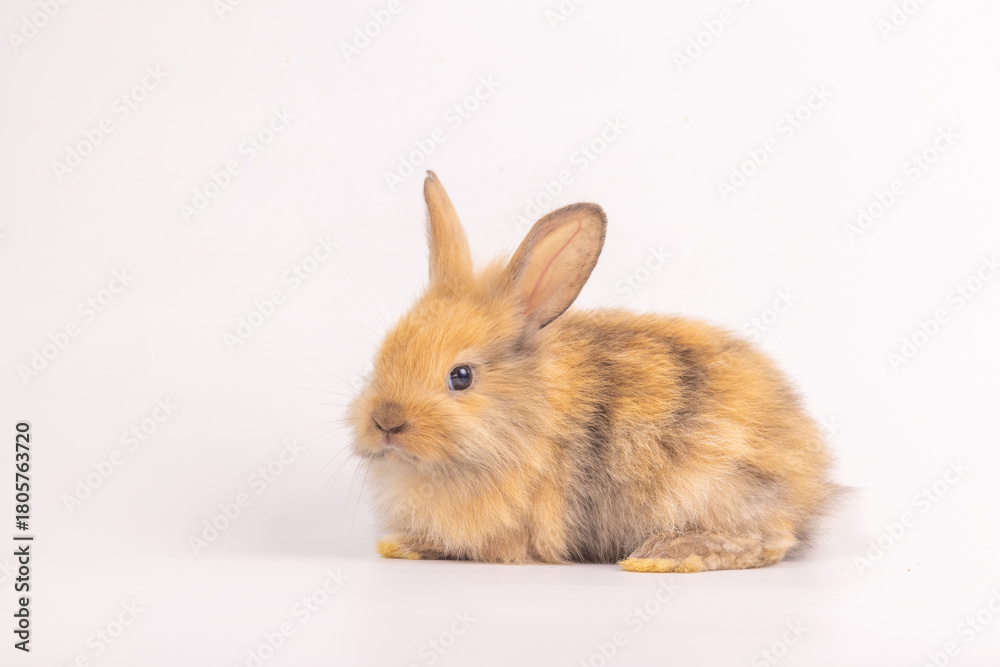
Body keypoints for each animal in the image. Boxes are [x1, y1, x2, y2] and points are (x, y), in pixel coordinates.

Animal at [348, 171, 838, 573]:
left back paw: (664, 555)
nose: (385, 422)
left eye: (461, 376)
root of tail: (810, 483)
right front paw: (403, 545)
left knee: (770, 540)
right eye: (381, 356)